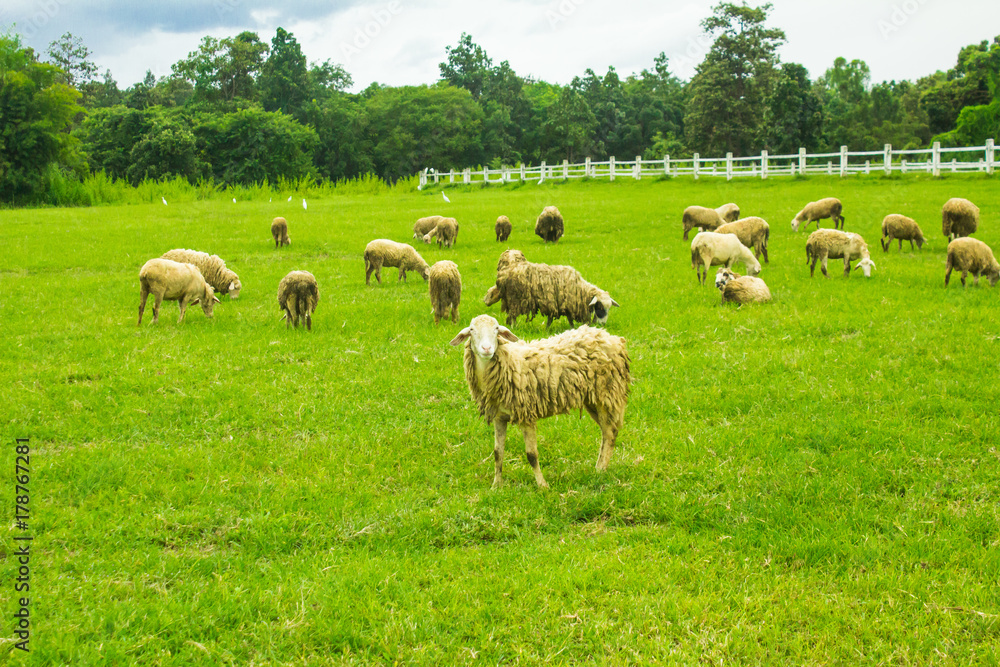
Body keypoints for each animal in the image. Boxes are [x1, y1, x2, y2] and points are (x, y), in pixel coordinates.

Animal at [449, 314, 631, 488]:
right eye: (471, 330)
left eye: (496, 329)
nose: (487, 349)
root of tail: (613, 338)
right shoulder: (499, 417)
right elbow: (497, 453)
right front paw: (496, 486)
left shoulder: (526, 414)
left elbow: (531, 455)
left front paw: (543, 485)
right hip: (593, 400)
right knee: (607, 433)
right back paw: (599, 467)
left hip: (606, 394)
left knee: (610, 433)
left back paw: (600, 470)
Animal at [487, 249, 619, 328]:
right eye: (599, 307)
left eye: (609, 308)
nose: (603, 324)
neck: (581, 290)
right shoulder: (561, 304)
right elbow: (560, 319)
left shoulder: (558, 304)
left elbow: (564, 319)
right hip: (515, 299)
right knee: (513, 316)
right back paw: (514, 327)